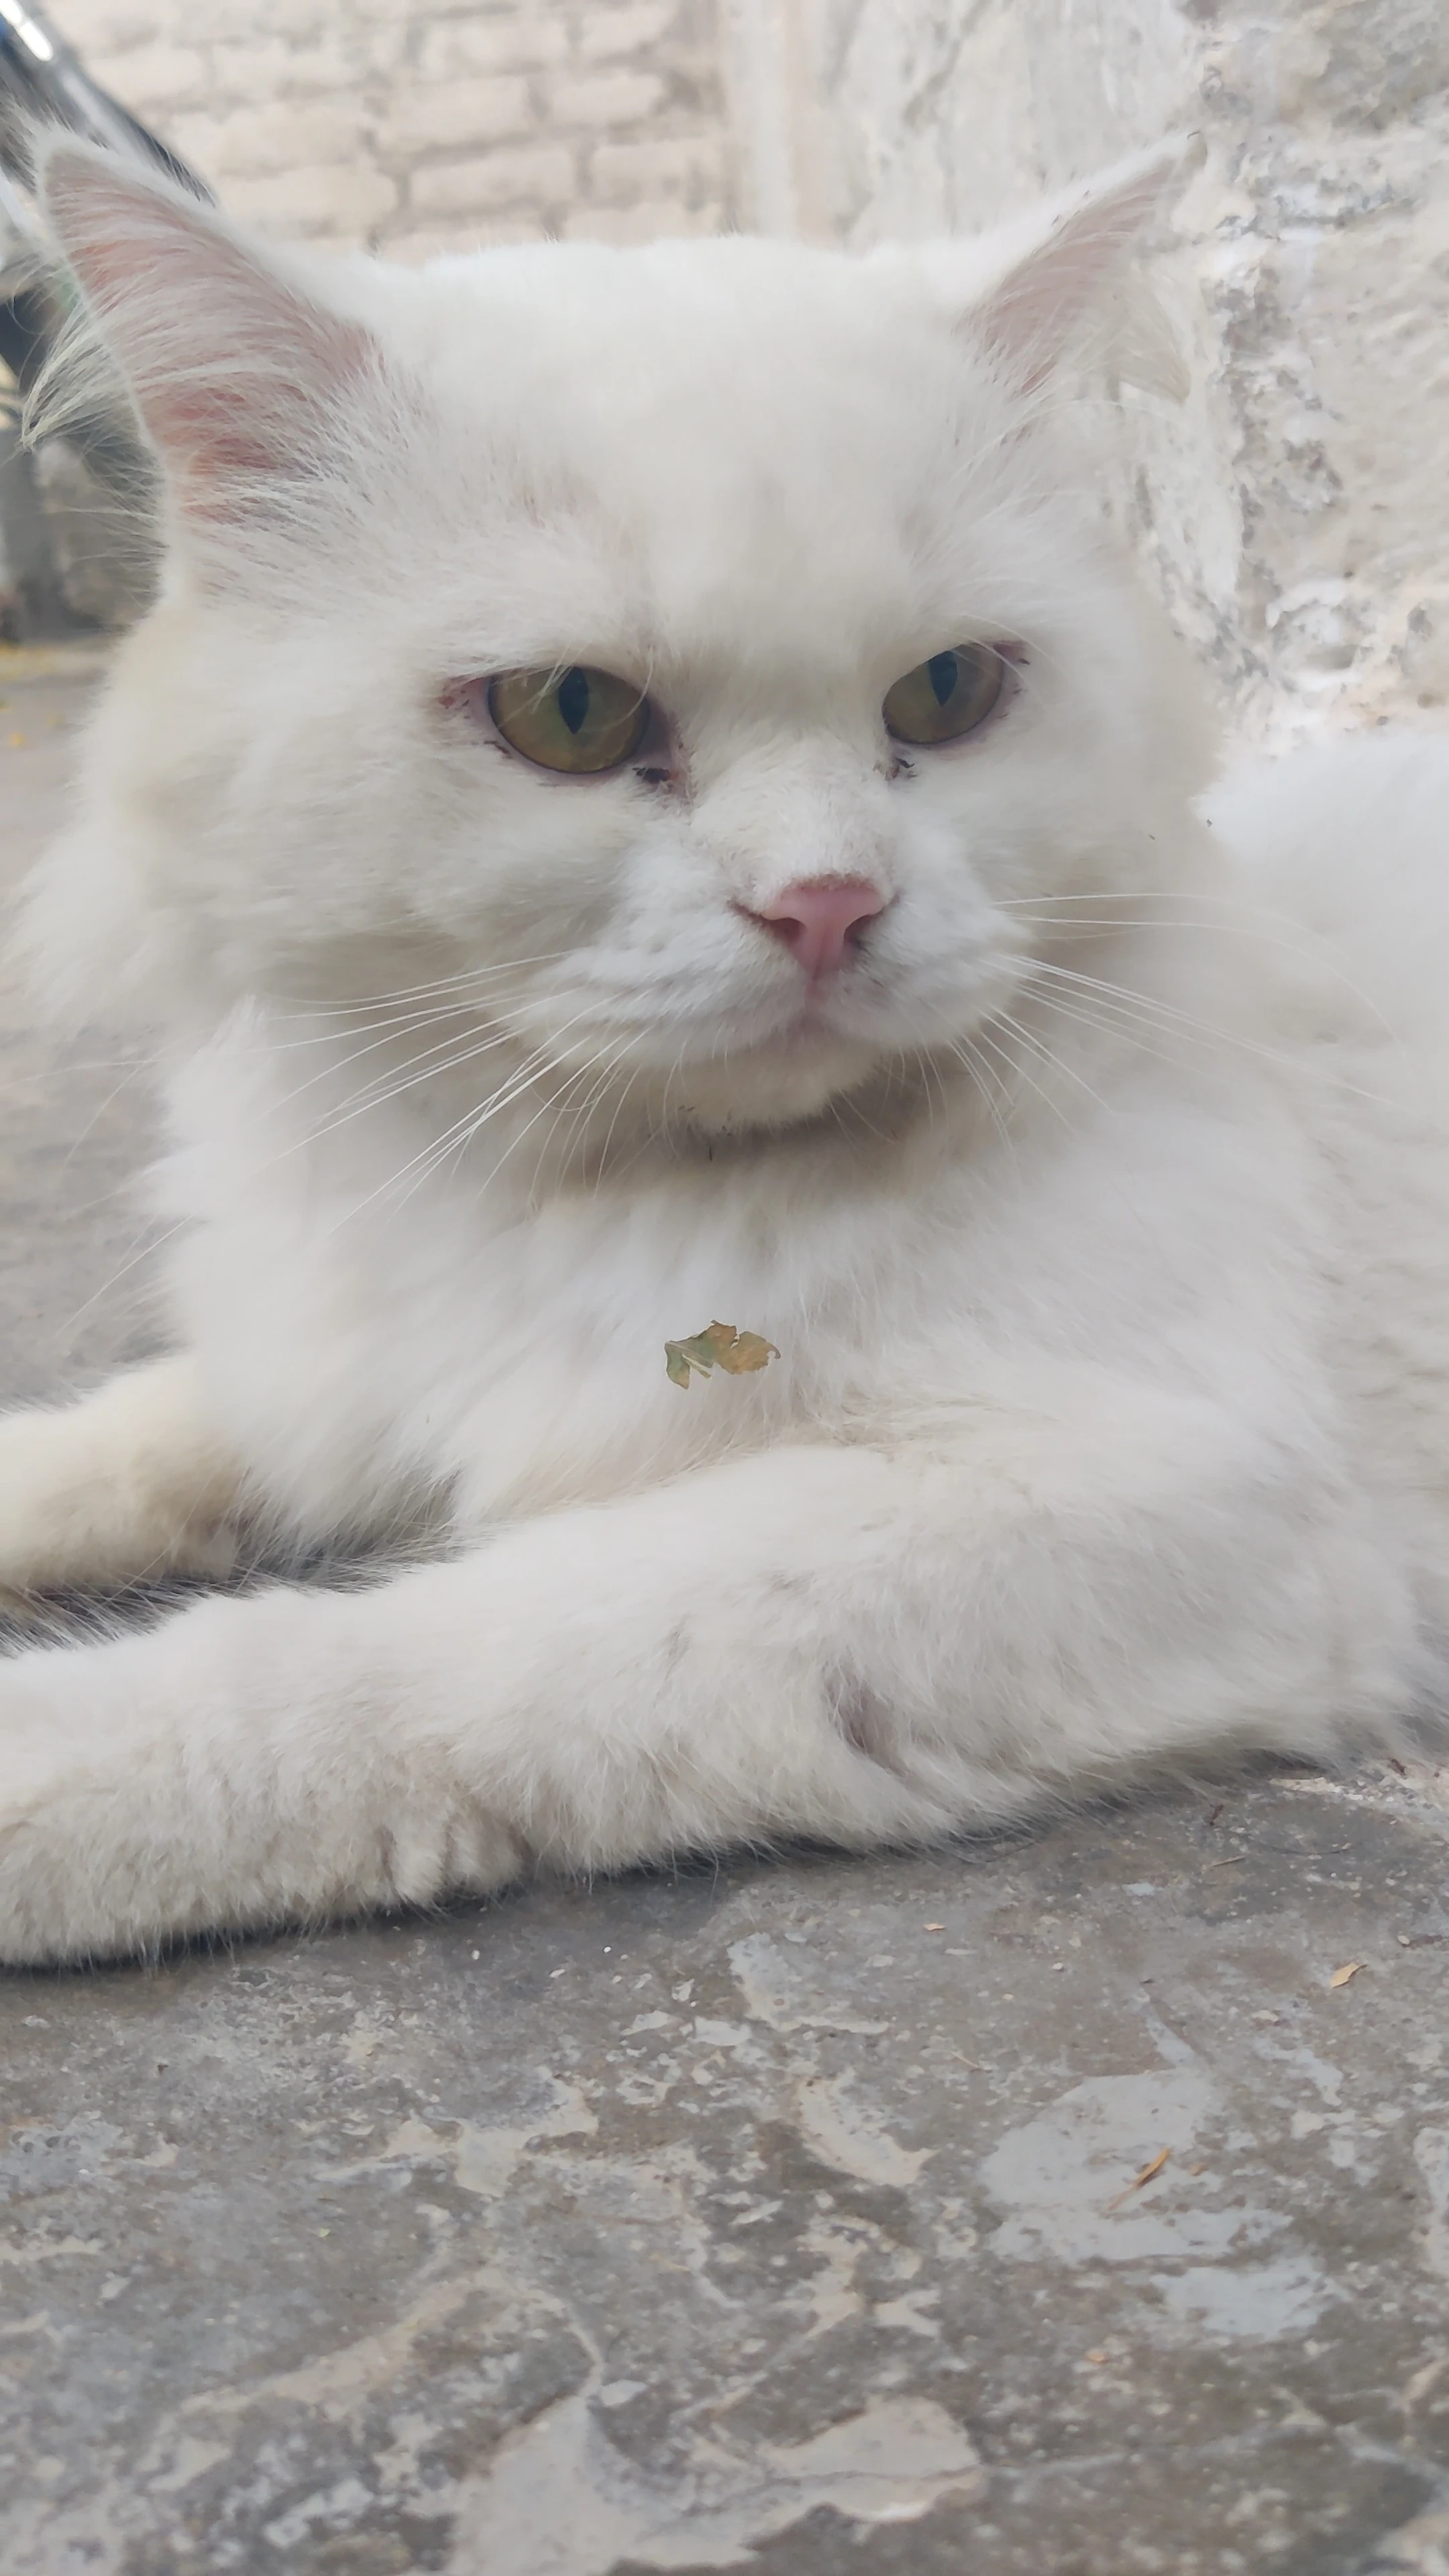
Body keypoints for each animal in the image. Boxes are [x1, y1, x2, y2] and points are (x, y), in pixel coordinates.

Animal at [3, 130, 1444, 1957]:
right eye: (567, 712)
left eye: (948, 695)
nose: (827, 906)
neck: (554, 1198)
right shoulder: (316, 1368)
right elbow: (128, 1436)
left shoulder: (1162, 1487)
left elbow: (408, 1661)